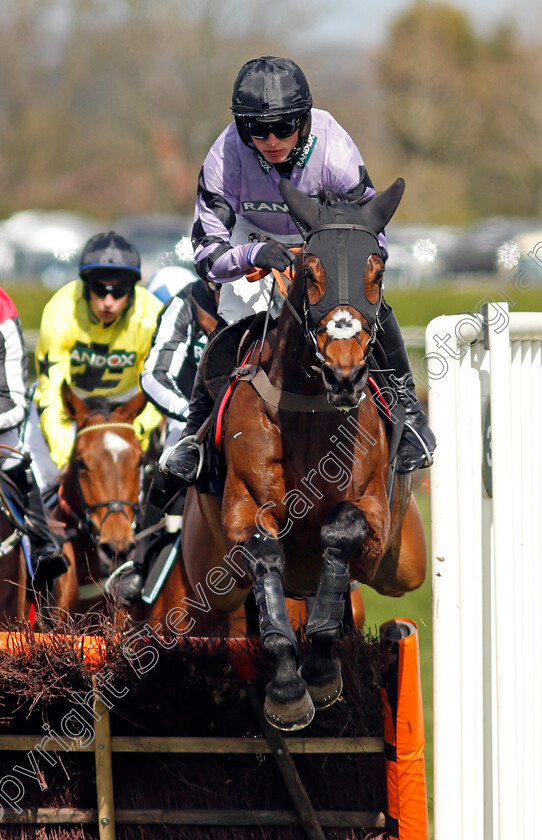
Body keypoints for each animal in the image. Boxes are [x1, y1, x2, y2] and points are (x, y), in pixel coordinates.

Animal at [150, 179, 430, 728]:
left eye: (377, 270)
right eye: (310, 272)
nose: (344, 375)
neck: (309, 412)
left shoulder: (374, 515)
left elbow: (340, 533)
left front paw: (320, 670)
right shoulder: (244, 511)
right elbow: (265, 553)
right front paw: (287, 688)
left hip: (406, 563)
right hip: (206, 581)